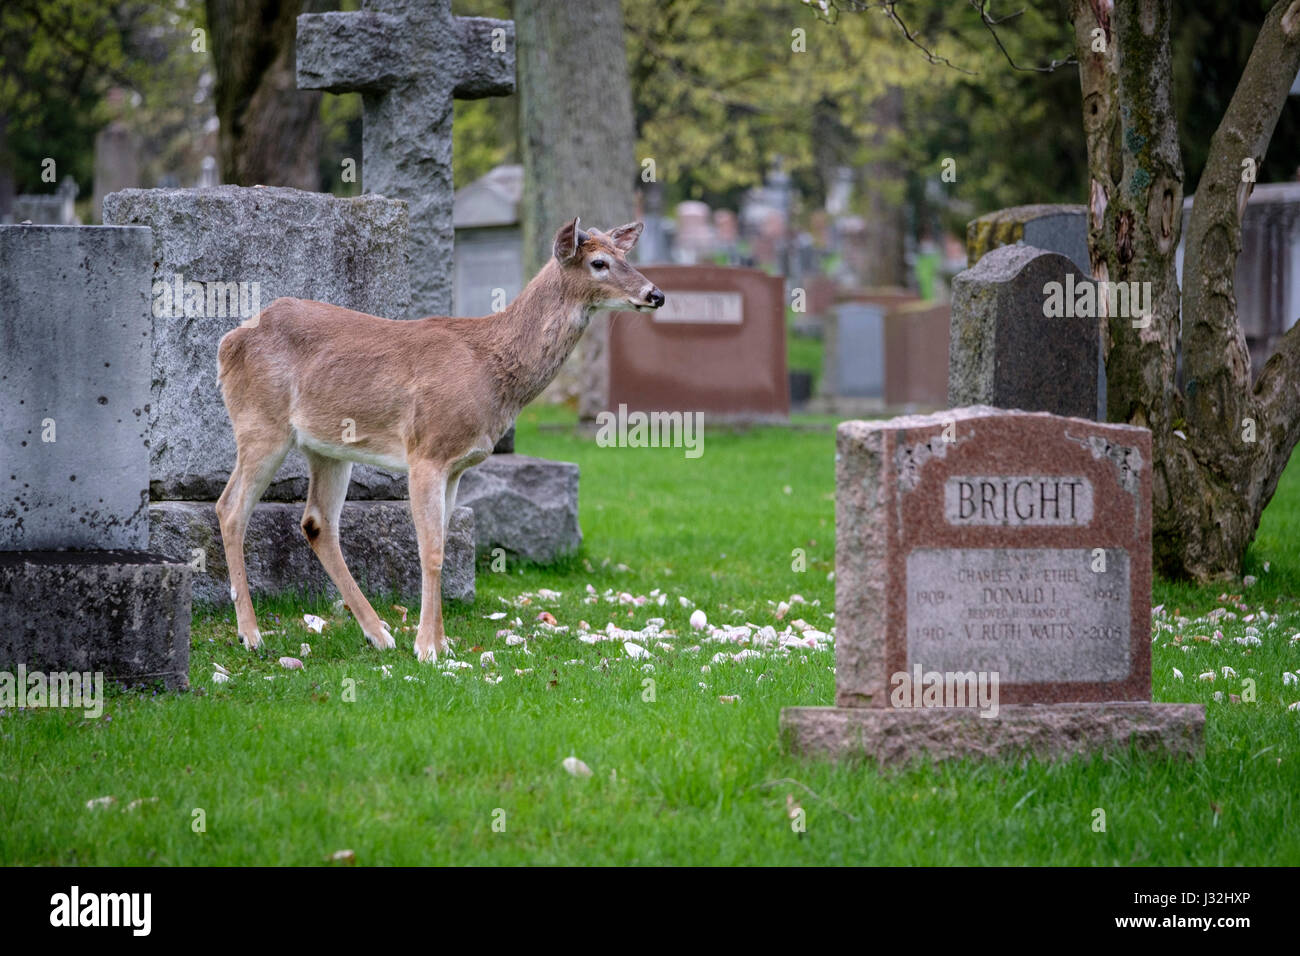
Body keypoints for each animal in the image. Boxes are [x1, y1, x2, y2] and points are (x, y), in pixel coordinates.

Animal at [215, 219, 660, 660]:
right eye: (599, 263)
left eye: (625, 256)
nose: (655, 294)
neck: (490, 369)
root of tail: (227, 343)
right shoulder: (426, 451)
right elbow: (431, 550)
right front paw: (427, 647)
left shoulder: (458, 467)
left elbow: (445, 542)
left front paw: (442, 642)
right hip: (261, 423)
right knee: (231, 508)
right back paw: (251, 634)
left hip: (327, 447)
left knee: (317, 522)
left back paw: (377, 633)